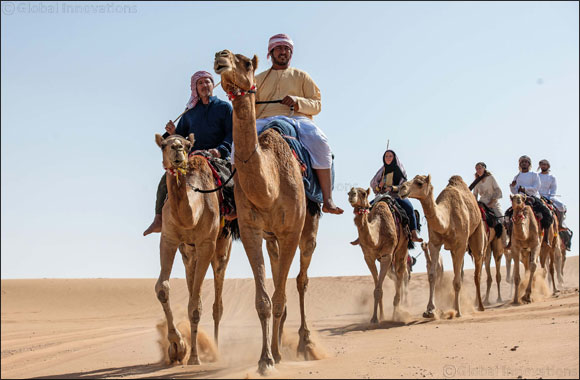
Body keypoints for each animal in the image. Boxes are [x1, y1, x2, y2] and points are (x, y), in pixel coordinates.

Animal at [156, 134, 236, 366]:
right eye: (164, 144)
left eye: (186, 144)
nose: (177, 148)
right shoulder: (169, 239)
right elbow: (163, 288)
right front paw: (176, 346)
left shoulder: (206, 244)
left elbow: (196, 306)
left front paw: (193, 357)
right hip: (188, 254)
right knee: (192, 284)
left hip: (221, 247)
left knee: (217, 302)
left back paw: (215, 349)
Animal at [213, 49, 322, 374]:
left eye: (247, 63)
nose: (221, 56)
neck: (269, 186)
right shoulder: (251, 231)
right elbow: (265, 300)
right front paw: (266, 358)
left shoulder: (291, 231)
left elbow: (281, 294)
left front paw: (276, 353)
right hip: (272, 238)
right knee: (279, 282)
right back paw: (279, 345)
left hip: (308, 225)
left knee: (300, 280)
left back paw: (305, 342)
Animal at [346, 187, 410, 324]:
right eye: (348, 192)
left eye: (363, 193)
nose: (352, 195)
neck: (377, 235)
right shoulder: (368, 257)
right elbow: (377, 289)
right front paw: (378, 317)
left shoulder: (387, 256)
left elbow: (379, 288)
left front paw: (378, 317)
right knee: (395, 276)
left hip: (402, 248)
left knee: (400, 274)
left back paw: (396, 314)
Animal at [398, 175, 484, 318]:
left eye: (419, 183)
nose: (401, 188)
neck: (448, 220)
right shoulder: (434, 243)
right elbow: (432, 275)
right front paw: (430, 310)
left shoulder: (461, 244)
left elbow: (457, 281)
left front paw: (458, 312)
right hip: (453, 250)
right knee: (459, 273)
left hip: (477, 233)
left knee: (476, 272)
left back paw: (480, 306)